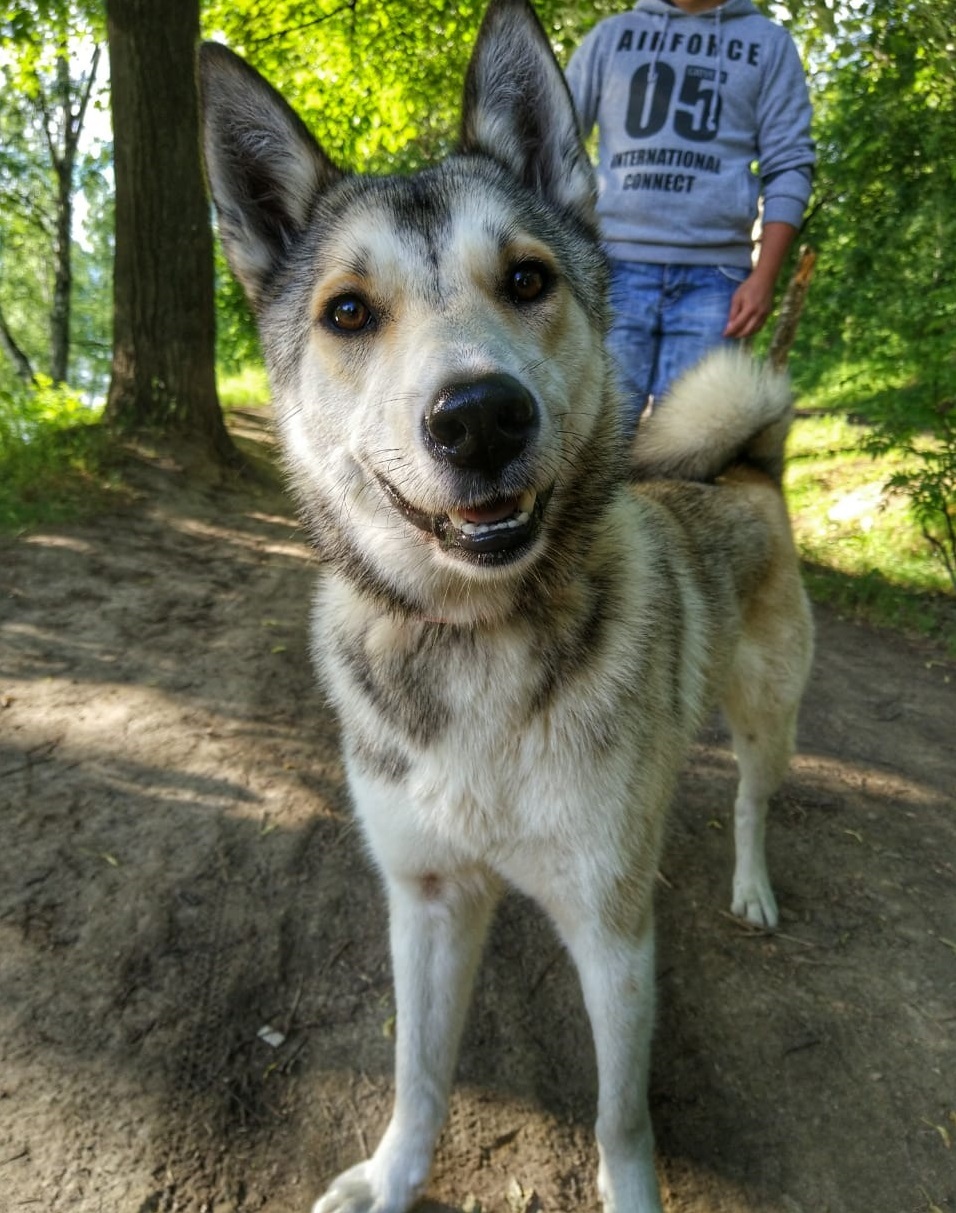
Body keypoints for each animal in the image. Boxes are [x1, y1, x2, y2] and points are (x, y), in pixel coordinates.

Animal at [201, 4, 815, 1208]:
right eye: (349, 312)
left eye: (527, 280)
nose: (479, 415)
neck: (473, 636)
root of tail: (748, 466)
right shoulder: (427, 897)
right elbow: (418, 1070)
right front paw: (392, 1176)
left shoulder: (613, 935)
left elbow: (620, 1117)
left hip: (767, 714)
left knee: (751, 798)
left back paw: (751, 882)